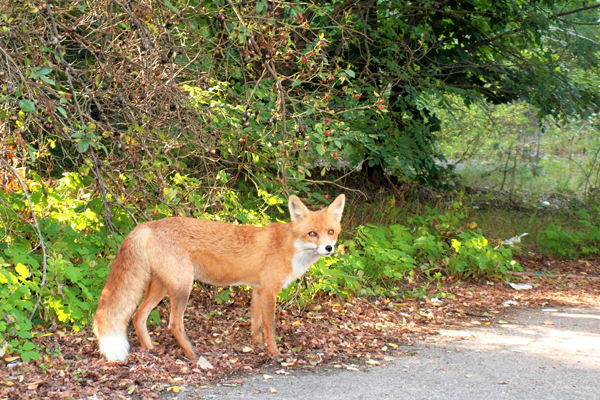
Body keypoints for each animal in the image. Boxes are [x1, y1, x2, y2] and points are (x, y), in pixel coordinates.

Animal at [92, 194, 344, 362]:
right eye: (312, 233)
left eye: (331, 232)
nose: (329, 248)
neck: (290, 246)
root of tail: (148, 224)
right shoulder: (269, 292)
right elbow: (270, 329)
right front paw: (275, 354)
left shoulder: (257, 290)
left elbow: (256, 326)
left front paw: (256, 348)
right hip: (183, 287)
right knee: (173, 324)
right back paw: (193, 356)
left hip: (161, 287)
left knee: (137, 316)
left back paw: (151, 349)